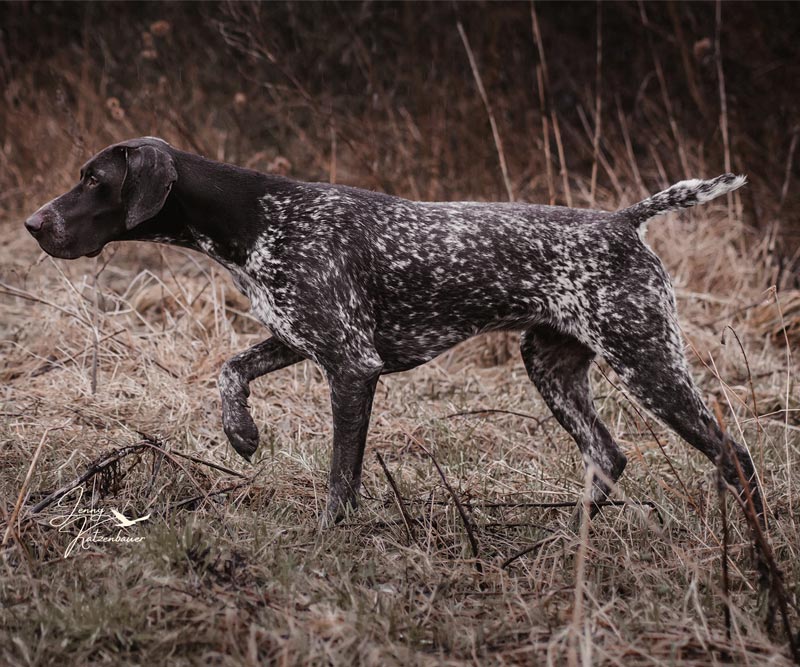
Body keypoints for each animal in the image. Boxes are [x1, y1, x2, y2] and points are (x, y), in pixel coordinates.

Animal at [23, 137, 764, 528]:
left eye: (93, 179)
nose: (33, 224)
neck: (257, 217)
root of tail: (623, 221)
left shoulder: (351, 366)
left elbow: (339, 476)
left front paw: (331, 536)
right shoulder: (297, 337)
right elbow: (229, 369)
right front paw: (242, 433)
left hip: (646, 360)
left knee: (733, 455)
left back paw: (754, 547)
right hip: (551, 366)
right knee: (608, 455)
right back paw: (571, 535)